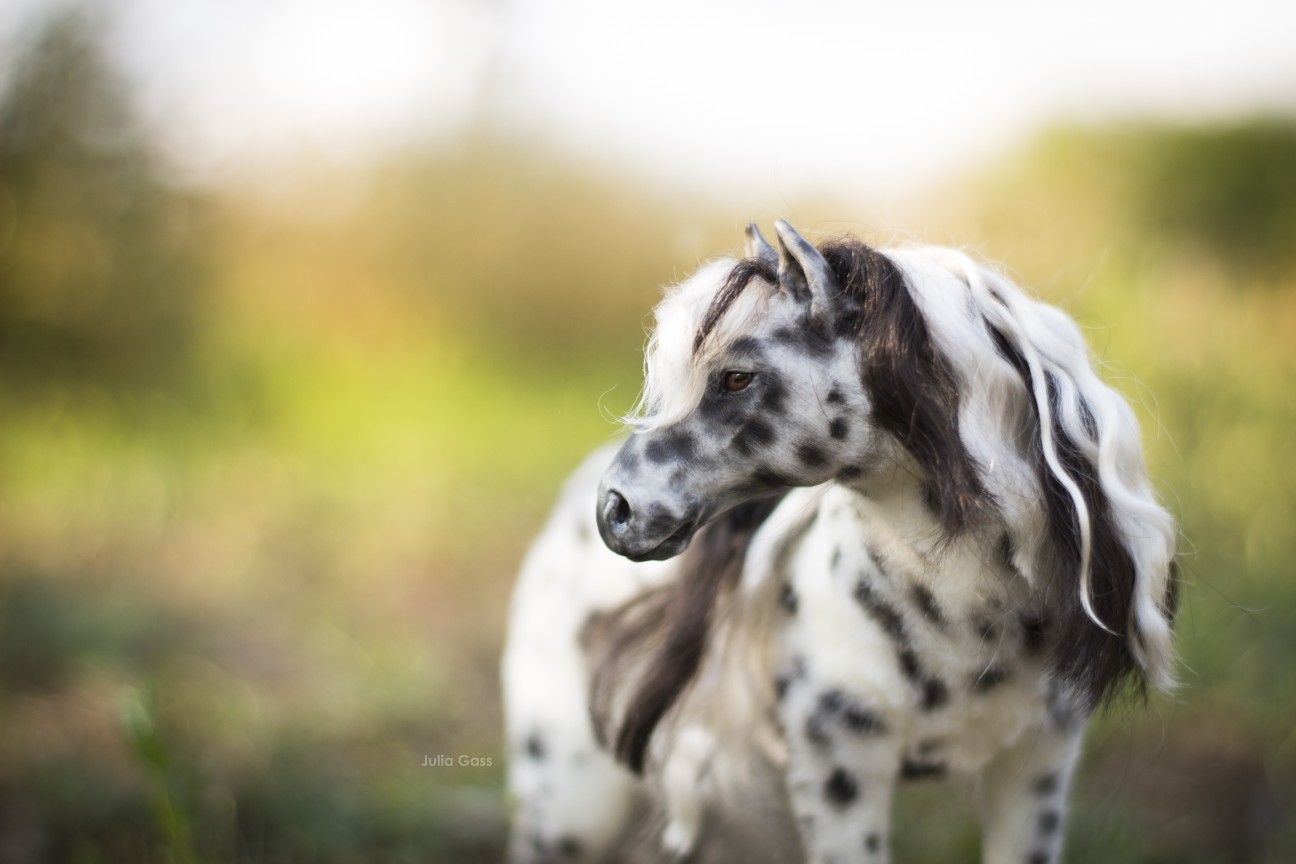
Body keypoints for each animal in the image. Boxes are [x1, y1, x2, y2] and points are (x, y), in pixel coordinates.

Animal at [500, 222, 1181, 864]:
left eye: (737, 377)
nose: (614, 510)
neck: (968, 622)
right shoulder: (840, 774)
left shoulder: (1037, 765)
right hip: (572, 806)